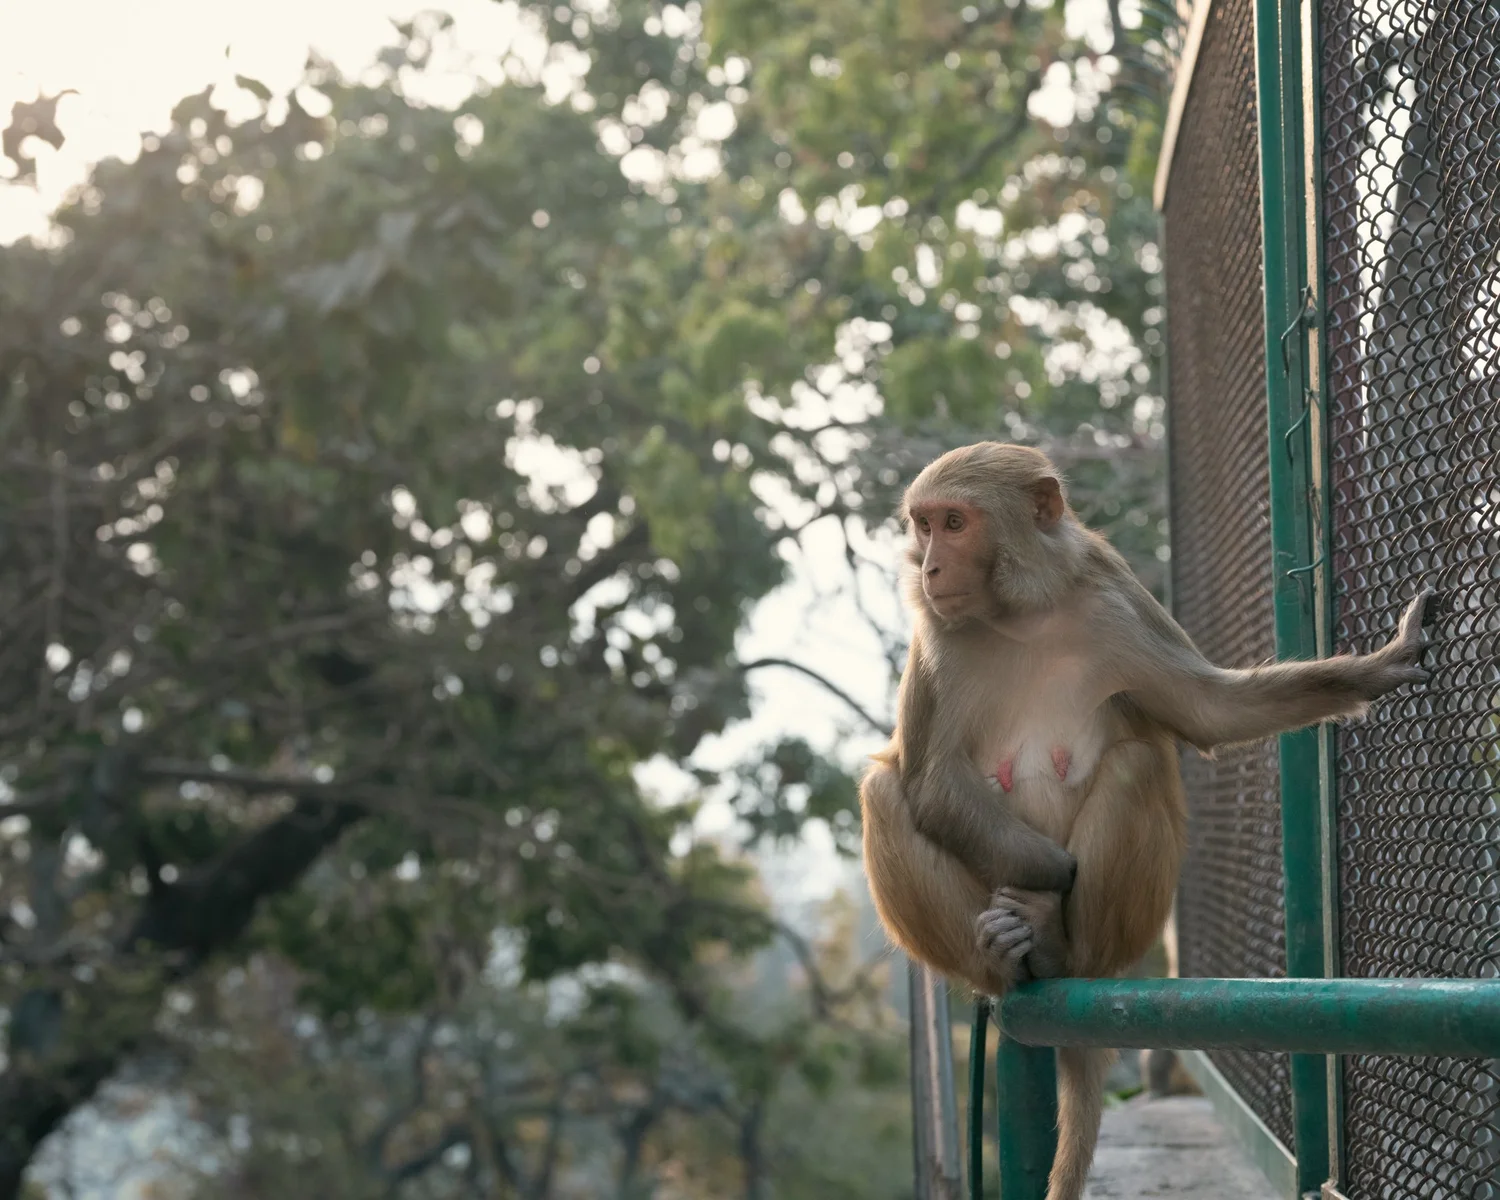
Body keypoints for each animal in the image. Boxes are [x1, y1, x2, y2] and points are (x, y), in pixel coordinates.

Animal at [859, 441, 1431, 1200]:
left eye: (954, 523)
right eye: (923, 525)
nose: (927, 567)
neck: (1021, 611)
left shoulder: (1114, 599)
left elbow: (1209, 710)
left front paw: (1378, 667)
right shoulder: (939, 632)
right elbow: (931, 781)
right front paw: (1048, 875)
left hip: (1124, 933)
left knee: (1135, 765)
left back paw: (1059, 950)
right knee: (883, 791)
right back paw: (1002, 956)